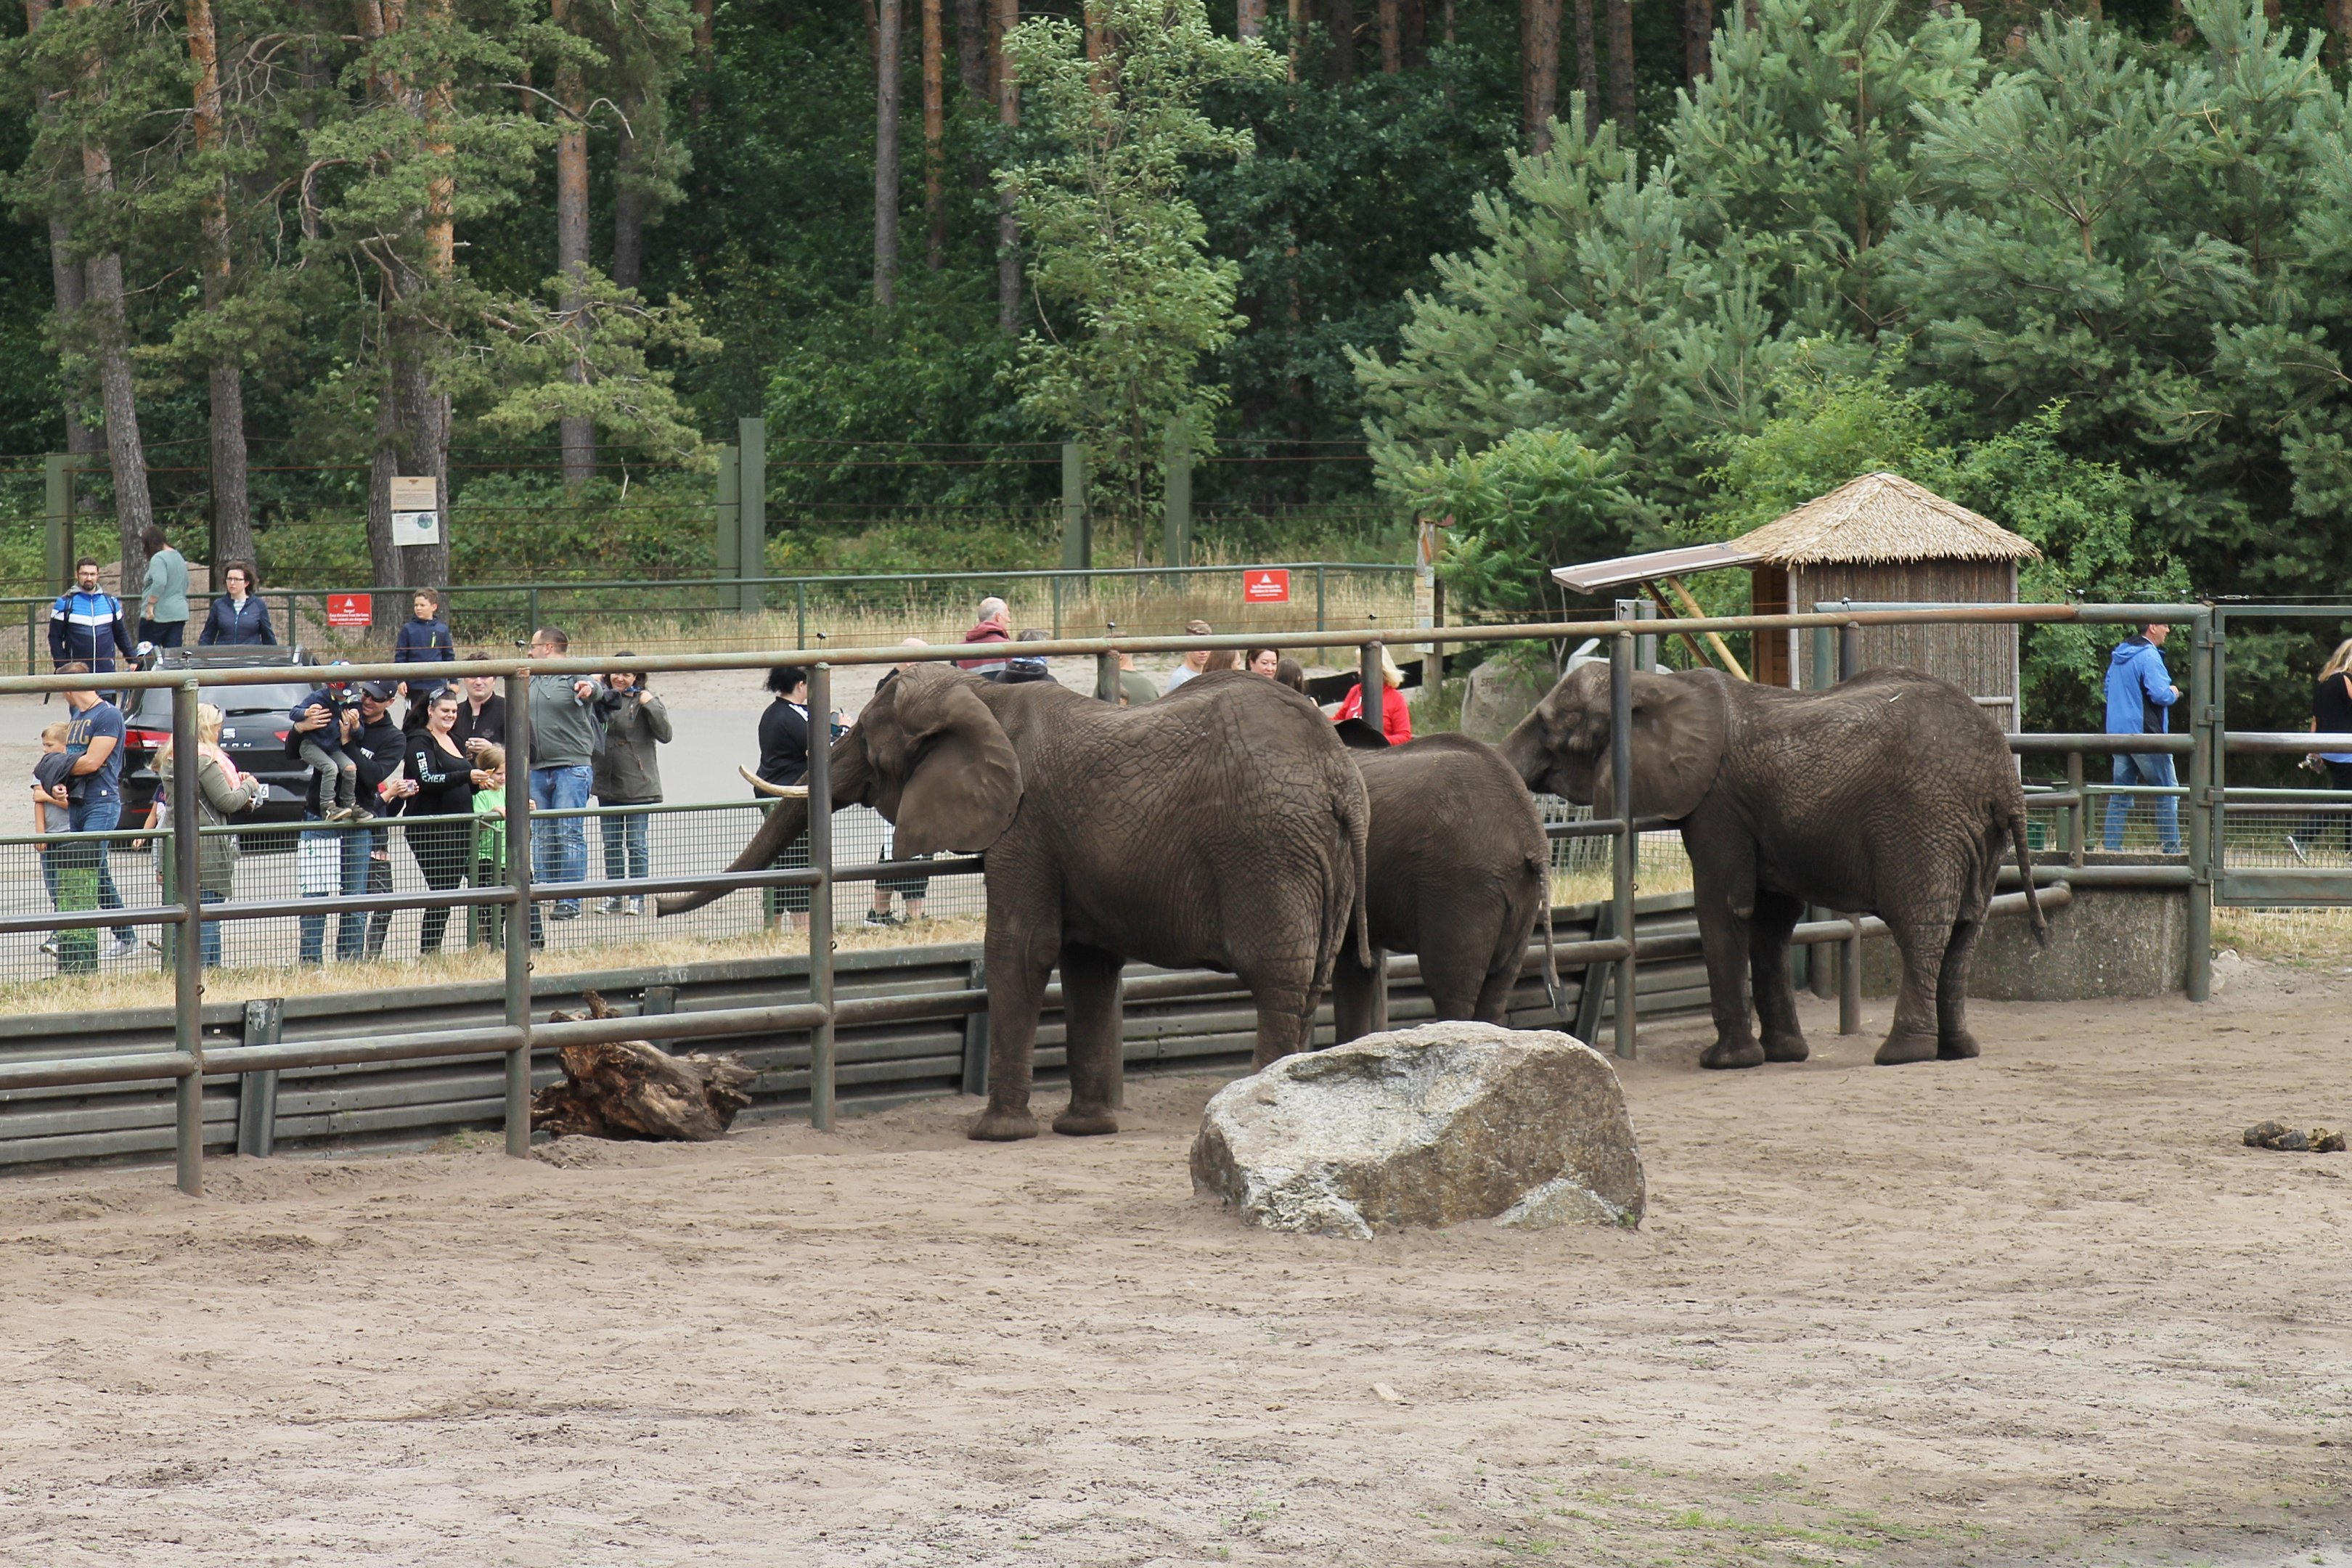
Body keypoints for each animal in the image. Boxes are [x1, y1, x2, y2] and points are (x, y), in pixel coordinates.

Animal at [661, 666, 1371, 1140]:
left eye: (862, 737)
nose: (658, 909)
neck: (984, 696)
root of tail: (1340, 776)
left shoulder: (1025, 824)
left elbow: (1020, 949)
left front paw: (994, 1132)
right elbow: (1087, 966)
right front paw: (1083, 1130)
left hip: (1269, 849)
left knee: (1278, 977)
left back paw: (1252, 1106)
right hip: (1317, 859)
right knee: (1313, 977)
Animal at [1331, 734, 1561, 1043]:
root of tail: (1531, 835)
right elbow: (1354, 966)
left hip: (1462, 888)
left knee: (1451, 989)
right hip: (1518, 897)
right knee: (1498, 988)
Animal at [1500, 663, 2046, 1069]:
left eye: (1548, 725)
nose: (1555, 995)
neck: (1653, 683)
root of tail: (2004, 776)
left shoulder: (1718, 805)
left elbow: (1723, 908)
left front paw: (1723, 1062)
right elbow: (1770, 920)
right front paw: (1785, 1054)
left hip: (1923, 820)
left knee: (1923, 928)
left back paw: (1901, 1054)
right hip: (1977, 835)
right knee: (1967, 927)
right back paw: (1957, 1050)